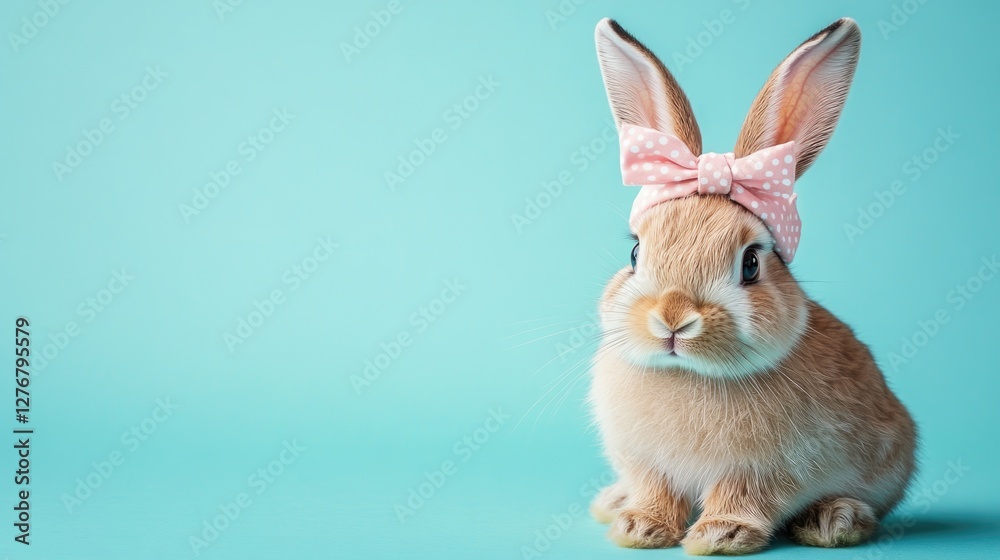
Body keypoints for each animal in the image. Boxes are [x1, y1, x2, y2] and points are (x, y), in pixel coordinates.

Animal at [588, 17, 916, 555]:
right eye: (635, 254)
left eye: (750, 264)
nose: (672, 318)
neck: (691, 375)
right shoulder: (649, 466)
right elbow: (656, 491)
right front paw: (639, 527)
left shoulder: (765, 470)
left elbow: (741, 495)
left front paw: (720, 535)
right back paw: (613, 503)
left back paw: (836, 520)